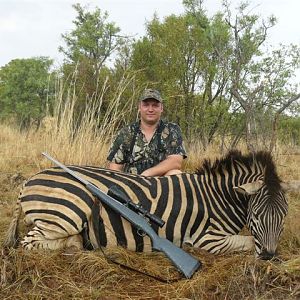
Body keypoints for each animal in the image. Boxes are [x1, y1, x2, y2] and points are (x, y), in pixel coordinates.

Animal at [3, 151, 290, 258]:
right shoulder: (207, 239)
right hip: (69, 211)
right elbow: (248, 241)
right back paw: (73, 245)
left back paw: (76, 243)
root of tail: (28, 180)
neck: (217, 197)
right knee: (27, 243)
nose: (269, 256)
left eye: (284, 216)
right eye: (257, 214)